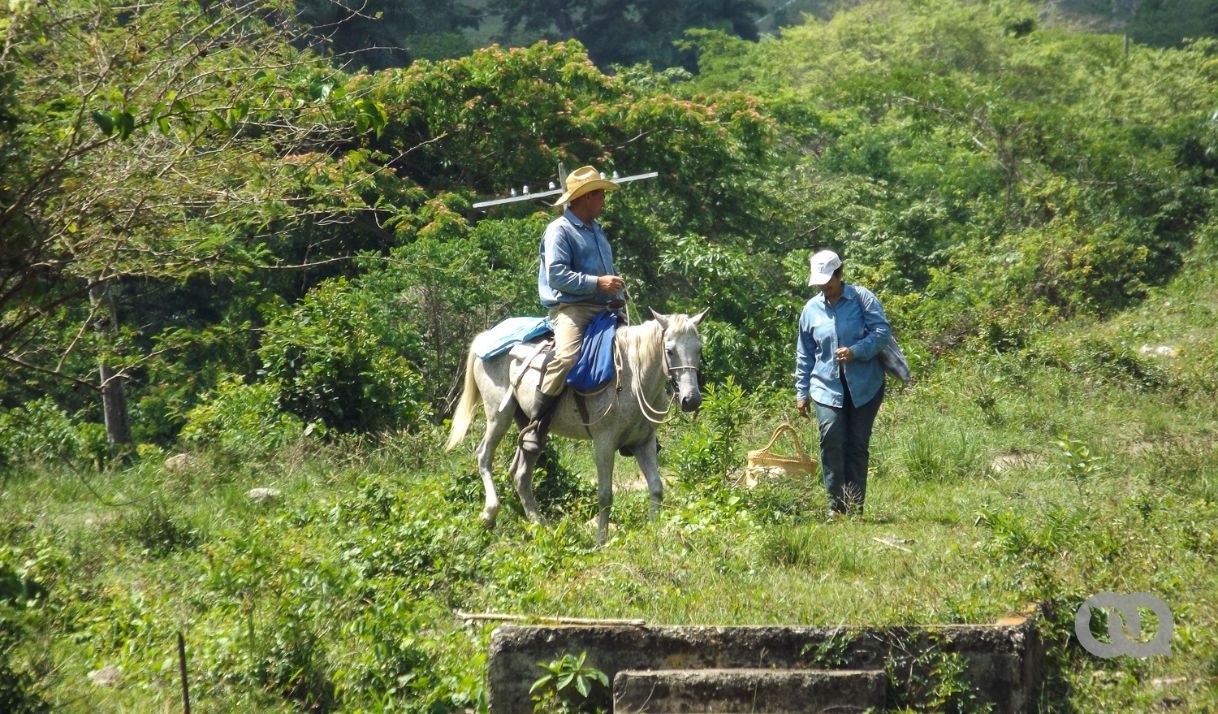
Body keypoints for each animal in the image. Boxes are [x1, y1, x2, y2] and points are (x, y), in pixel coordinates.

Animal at [448, 308, 706, 540]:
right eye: (670, 351)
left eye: (698, 349)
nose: (691, 399)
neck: (633, 378)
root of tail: (486, 337)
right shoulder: (604, 443)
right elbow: (605, 494)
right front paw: (601, 541)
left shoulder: (644, 443)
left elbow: (656, 487)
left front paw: (654, 536)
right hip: (497, 416)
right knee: (484, 456)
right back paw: (490, 514)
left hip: (530, 426)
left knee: (520, 473)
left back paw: (540, 526)